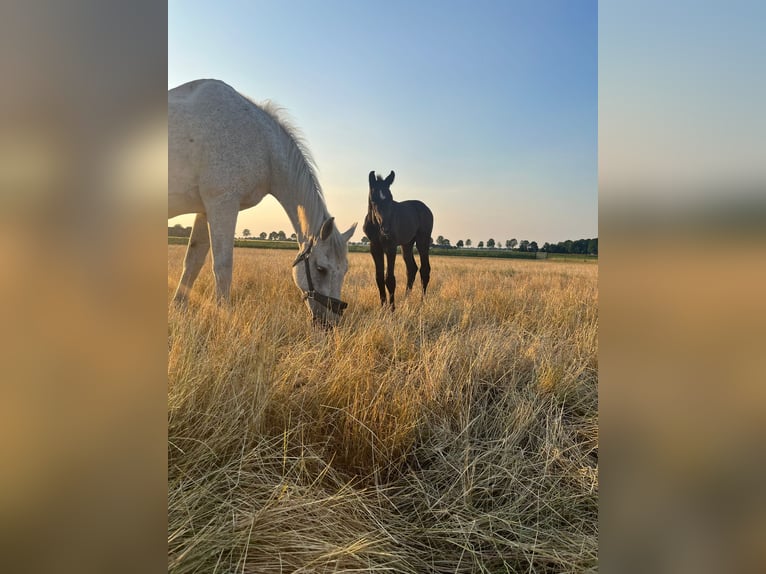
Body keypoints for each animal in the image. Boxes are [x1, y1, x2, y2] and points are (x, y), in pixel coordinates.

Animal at [168, 79, 356, 326]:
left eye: (345, 270)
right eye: (321, 268)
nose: (330, 323)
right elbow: (223, 266)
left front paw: (178, 310)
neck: (263, 144)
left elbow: (193, 262)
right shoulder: (222, 204)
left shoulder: (205, 210)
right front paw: (224, 317)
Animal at [364, 170, 436, 310]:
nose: (386, 229)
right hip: (407, 244)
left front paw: (392, 309)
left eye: (391, 198)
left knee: (425, 269)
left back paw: (421, 303)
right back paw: (405, 301)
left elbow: (390, 279)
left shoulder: (390, 246)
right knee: (411, 269)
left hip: (422, 240)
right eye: (374, 199)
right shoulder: (375, 247)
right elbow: (379, 278)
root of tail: (425, 208)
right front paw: (383, 308)